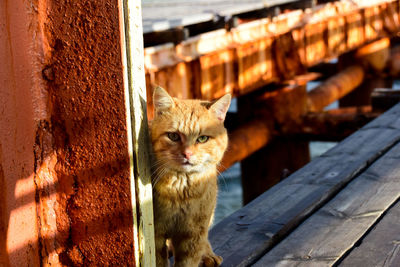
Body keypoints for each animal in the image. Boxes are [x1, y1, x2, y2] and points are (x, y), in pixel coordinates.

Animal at [150, 87, 231, 266]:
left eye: (202, 138)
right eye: (173, 136)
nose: (187, 154)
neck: (180, 190)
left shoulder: (193, 236)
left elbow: (187, 261)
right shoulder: (156, 234)